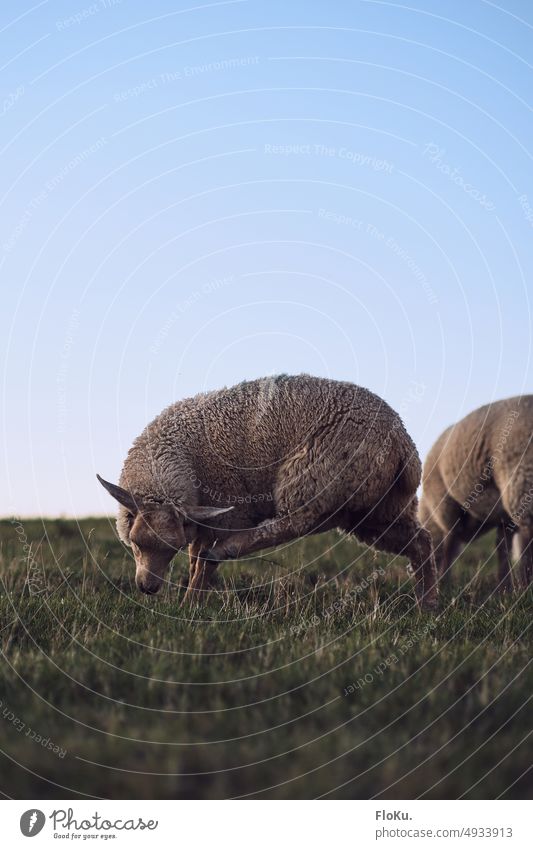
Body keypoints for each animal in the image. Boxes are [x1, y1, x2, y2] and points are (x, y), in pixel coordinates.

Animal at [96, 374, 436, 608]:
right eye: (135, 543)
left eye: (170, 548)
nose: (147, 588)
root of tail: (404, 444)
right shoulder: (202, 517)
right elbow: (194, 559)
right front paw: (191, 597)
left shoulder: (225, 512)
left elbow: (202, 562)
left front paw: (191, 604)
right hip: (374, 507)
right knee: (420, 541)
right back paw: (427, 605)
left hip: (315, 477)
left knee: (292, 524)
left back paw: (229, 549)